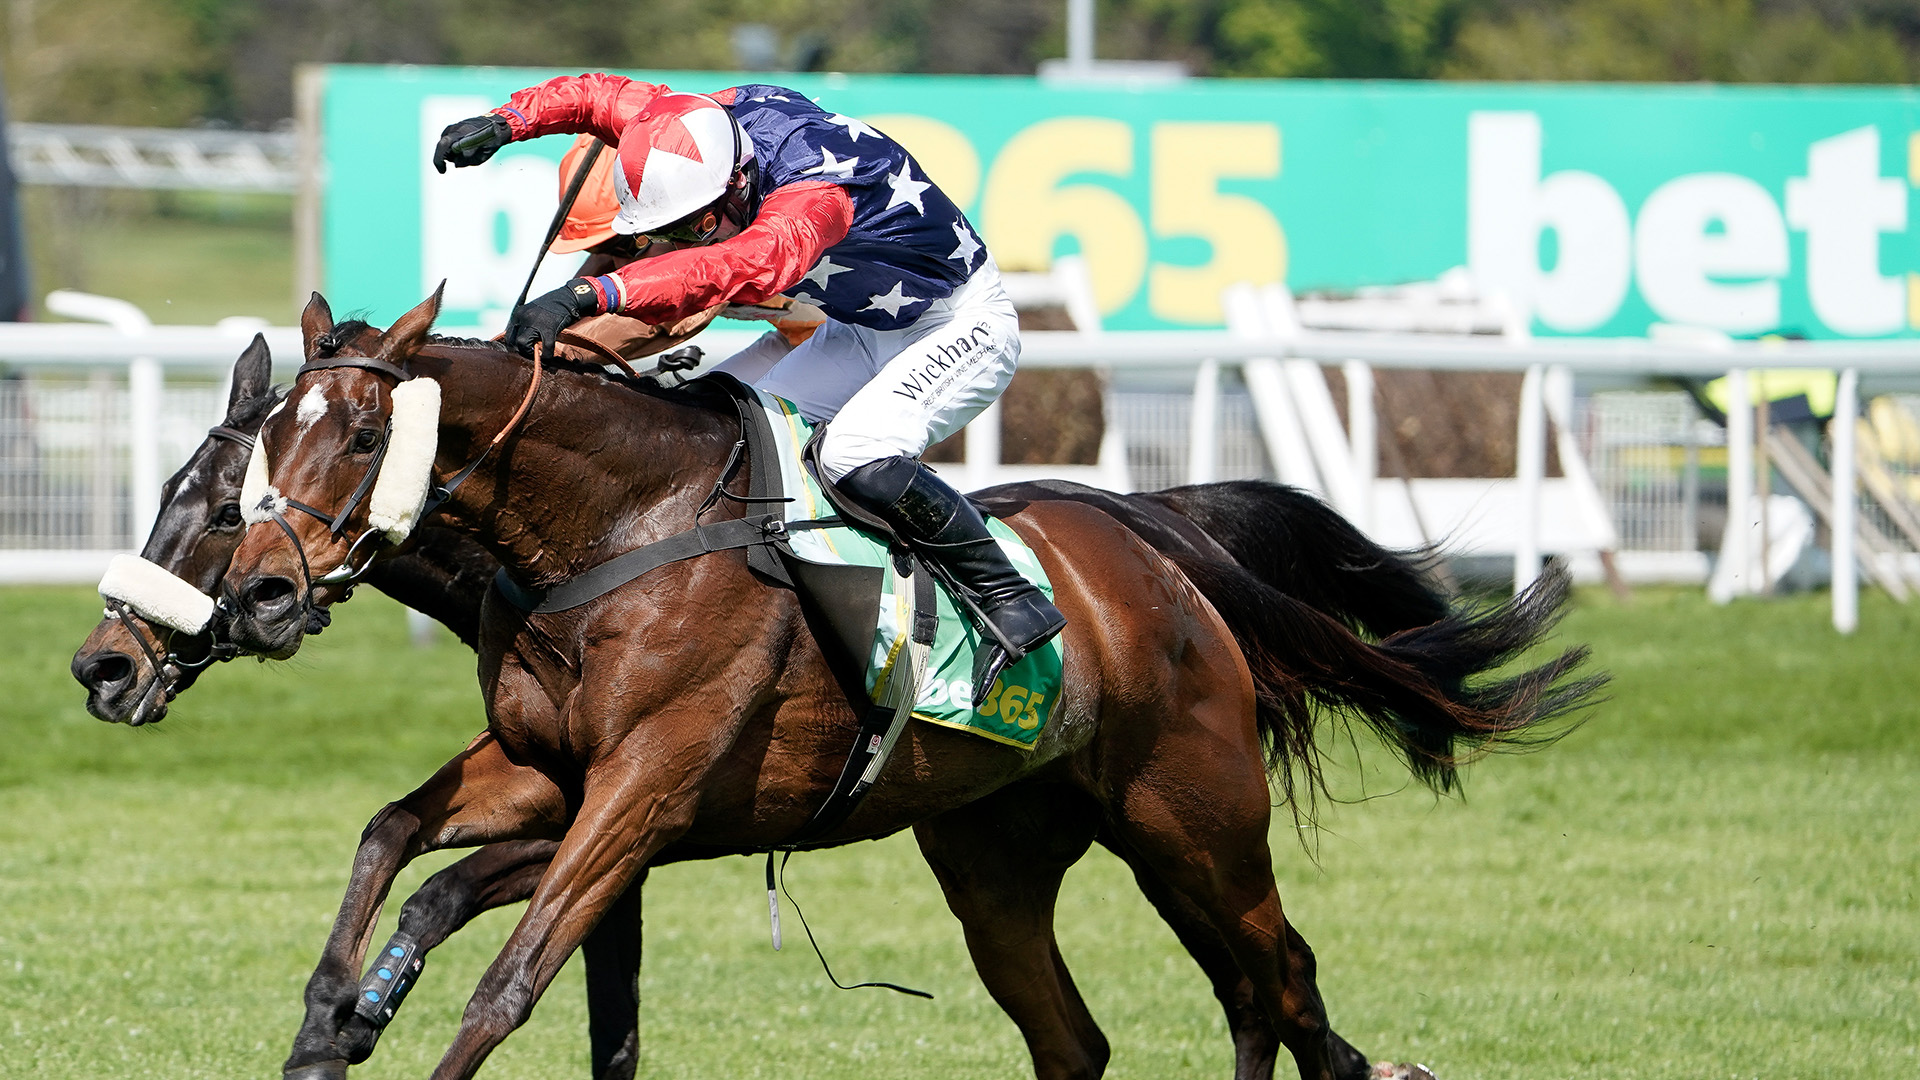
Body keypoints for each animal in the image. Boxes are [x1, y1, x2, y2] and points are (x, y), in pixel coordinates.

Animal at [220, 290, 1605, 1076]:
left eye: (359, 435)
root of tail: (1156, 544)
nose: (262, 594)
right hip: (1002, 856)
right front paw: (329, 1023)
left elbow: (507, 980)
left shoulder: (644, 787)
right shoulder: (547, 769)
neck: (620, 529)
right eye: (265, 439)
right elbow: (392, 837)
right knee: (1089, 1034)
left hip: (1196, 821)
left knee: (1282, 981)